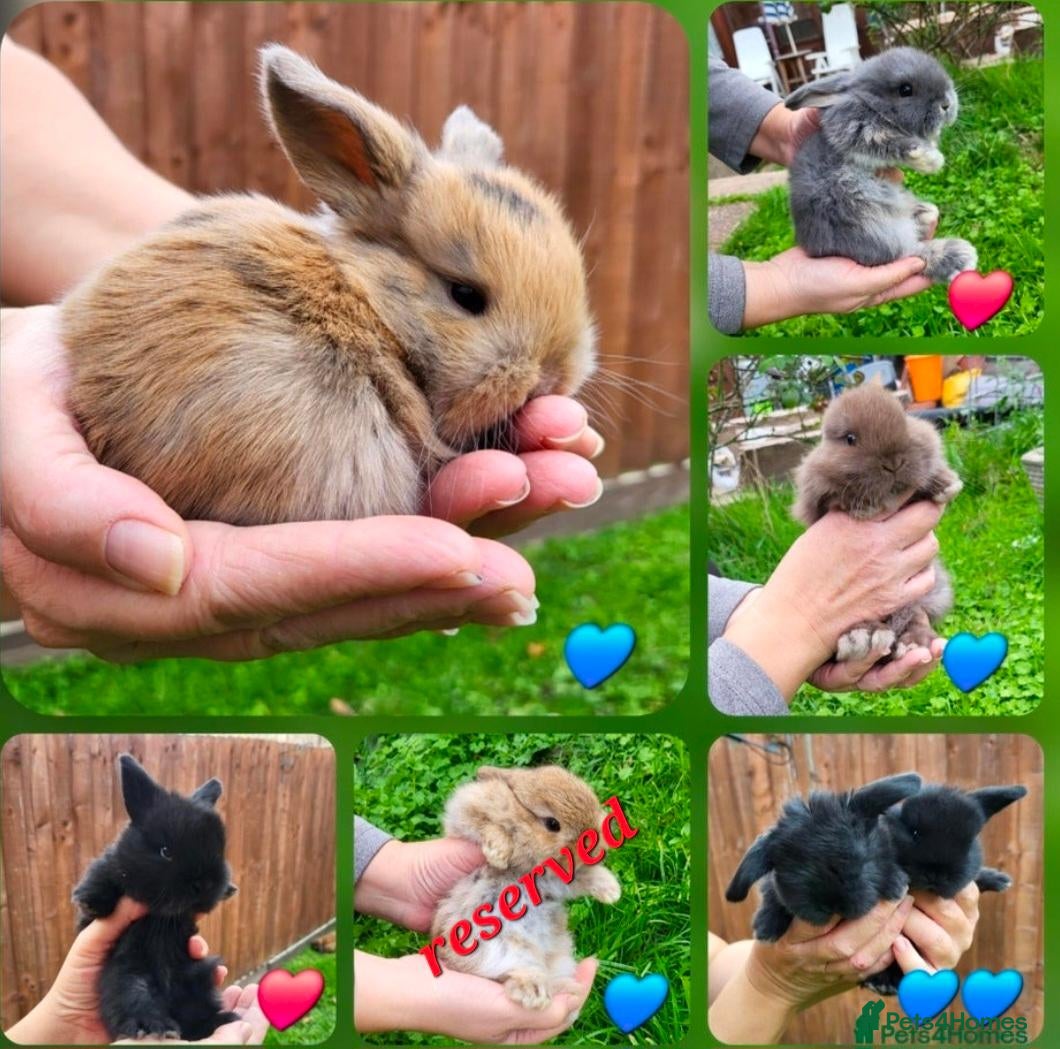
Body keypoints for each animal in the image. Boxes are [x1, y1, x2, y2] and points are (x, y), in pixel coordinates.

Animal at [72, 755, 239, 1040]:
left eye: (219, 851)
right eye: (165, 851)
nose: (205, 884)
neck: (159, 916)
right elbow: (105, 869)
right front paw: (91, 900)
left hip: (196, 980)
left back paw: (221, 1021)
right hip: (129, 973)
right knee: (135, 997)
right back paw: (153, 1027)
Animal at [430, 765, 621, 1010]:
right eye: (552, 824)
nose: (599, 850)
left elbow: (583, 879)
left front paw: (612, 892)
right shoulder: (467, 811)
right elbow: (487, 825)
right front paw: (499, 854)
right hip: (496, 950)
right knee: (513, 972)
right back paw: (534, 993)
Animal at [725, 772, 922, 941]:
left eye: (859, 860)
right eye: (792, 872)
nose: (832, 907)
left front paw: (896, 884)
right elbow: (770, 893)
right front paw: (765, 928)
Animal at [785, 47, 977, 284]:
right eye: (905, 90)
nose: (947, 104)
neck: (871, 104)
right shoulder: (857, 130)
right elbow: (895, 143)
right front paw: (933, 161)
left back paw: (924, 213)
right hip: (874, 228)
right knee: (908, 252)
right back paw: (959, 256)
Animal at [793, 382, 963, 663]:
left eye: (904, 418)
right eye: (850, 439)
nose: (893, 463)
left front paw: (946, 485)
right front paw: (863, 507)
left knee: (914, 616)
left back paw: (913, 643)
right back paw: (864, 637)